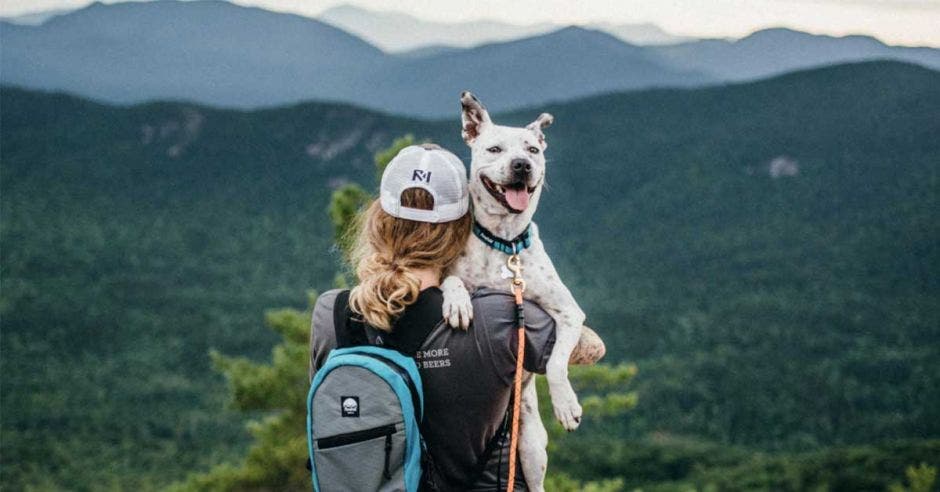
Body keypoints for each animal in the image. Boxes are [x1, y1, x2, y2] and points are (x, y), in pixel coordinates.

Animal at [442, 91, 588, 488]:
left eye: (533, 149)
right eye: (494, 149)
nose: (522, 165)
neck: (505, 242)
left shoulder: (570, 314)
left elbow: (556, 362)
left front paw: (566, 405)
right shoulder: (450, 270)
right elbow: (452, 280)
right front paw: (458, 304)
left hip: (532, 449)